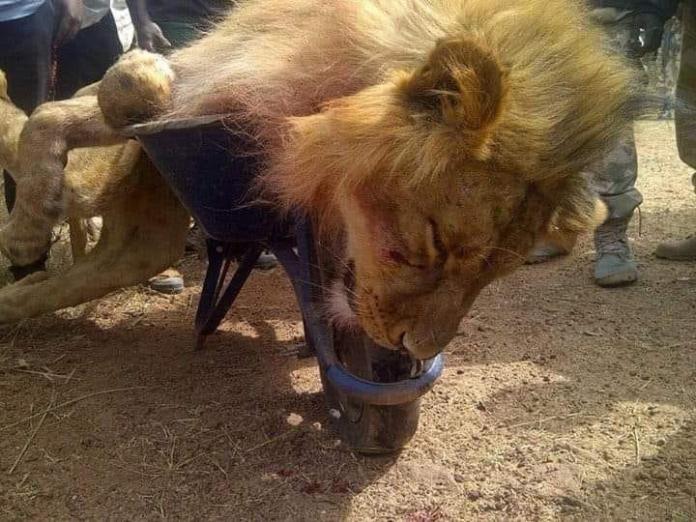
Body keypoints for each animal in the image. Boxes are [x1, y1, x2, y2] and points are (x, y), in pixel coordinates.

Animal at [0, 0, 635, 359]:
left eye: (492, 276)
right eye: (434, 245)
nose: (414, 349)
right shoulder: (208, 83)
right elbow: (78, 103)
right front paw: (27, 230)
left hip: (142, 238)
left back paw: (18, 293)